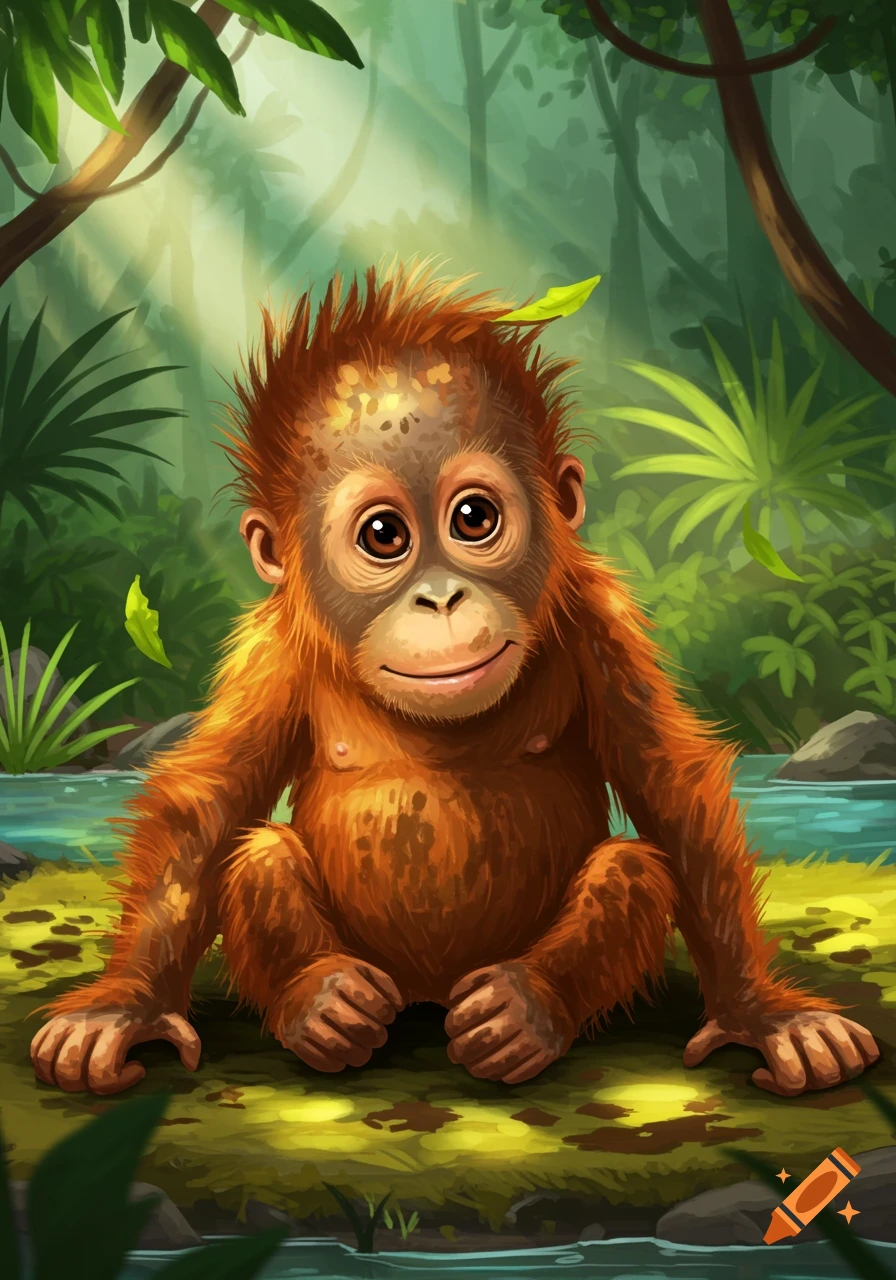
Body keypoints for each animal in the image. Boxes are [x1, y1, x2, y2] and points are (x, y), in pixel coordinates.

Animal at [30, 262, 879, 1098]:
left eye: (474, 519)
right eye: (383, 536)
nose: (440, 598)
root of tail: (429, 994)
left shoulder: (599, 620)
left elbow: (668, 788)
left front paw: (765, 1015)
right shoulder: (271, 655)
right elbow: (207, 810)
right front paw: (119, 1011)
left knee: (632, 866)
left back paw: (524, 1011)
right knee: (260, 851)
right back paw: (322, 1003)